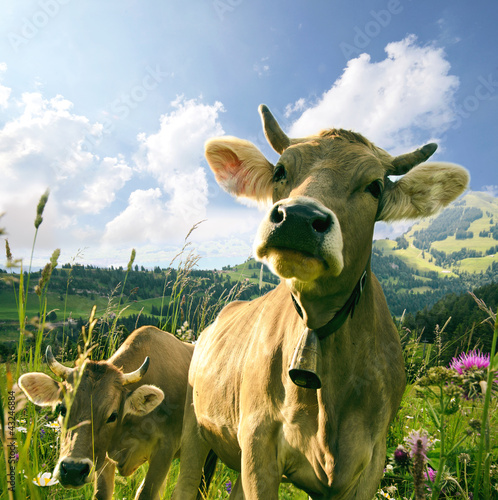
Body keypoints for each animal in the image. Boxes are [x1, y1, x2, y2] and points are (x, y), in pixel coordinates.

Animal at [20, 326, 202, 498]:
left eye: (113, 416)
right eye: (62, 409)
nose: (73, 470)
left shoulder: (164, 449)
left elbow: (146, 493)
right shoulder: (103, 456)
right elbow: (101, 493)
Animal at [173, 103, 468, 498]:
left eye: (374, 187)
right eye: (281, 171)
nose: (298, 218)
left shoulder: (370, 462)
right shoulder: (258, 444)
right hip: (195, 428)